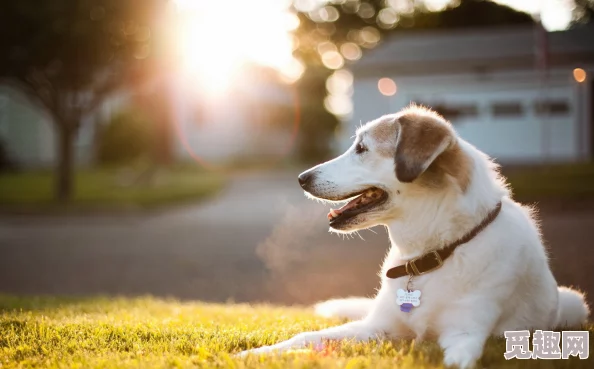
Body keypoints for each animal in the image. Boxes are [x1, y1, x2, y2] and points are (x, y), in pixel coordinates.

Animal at [239, 105, 588, 366]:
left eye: (362, 148)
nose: (302, 178)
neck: (431, 255)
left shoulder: (465, 333)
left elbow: (457, 359)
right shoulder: (377, 327)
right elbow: (306, 337)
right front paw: (257, 353)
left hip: (574, 304)